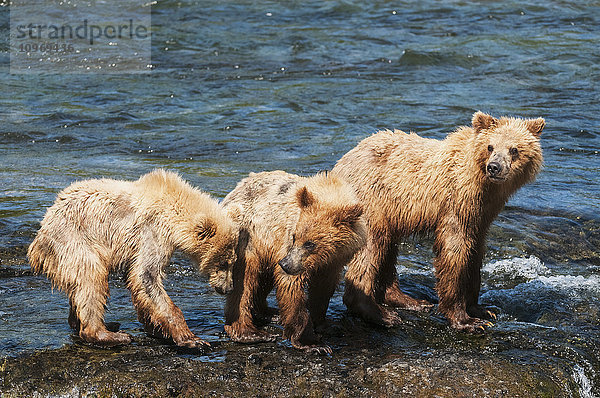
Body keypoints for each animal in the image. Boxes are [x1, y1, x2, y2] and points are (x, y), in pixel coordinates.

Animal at [27, 169, 239, 346]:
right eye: (223, 262)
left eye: (232, 262)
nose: (228, 288)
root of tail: (40, 236)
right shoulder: (152, 232)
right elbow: (147, 276)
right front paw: (192, 339)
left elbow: (140, 283)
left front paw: (156, 328)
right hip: (74, 241)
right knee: (91, 280)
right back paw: (108, 334)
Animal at [224, 169, 368, 352]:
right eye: (295, 236)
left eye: (310, 243)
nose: (285, 264)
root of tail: (235, 190)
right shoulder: (287, 242)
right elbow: (291, 286)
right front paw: (312, 343)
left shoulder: (335, 261)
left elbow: (323, 288)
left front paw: (326, 325)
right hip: (249, 238)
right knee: (245, 283)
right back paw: (249, 333)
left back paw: (270, 313)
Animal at [330, 112, 548, 332]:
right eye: (490, 146)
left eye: (514, 149)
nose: (494, 167)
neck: (481, 183)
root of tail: (341, 162)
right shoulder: (456, 203)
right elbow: (454, 253)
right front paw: (466, 320)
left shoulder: (481, 214)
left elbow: (475, 253)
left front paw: (483, 310)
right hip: (371, 198)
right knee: (373, 247)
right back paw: (380, 313)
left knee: (388, 249)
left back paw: (410, 301)